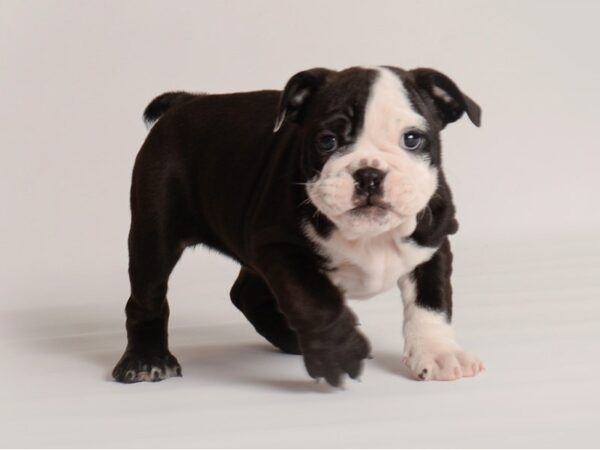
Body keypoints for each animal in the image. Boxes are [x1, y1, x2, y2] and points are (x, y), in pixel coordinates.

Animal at [112, 66, 486, 386]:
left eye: (412, 139)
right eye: (327, 140)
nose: (368, 173)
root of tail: (186, 100)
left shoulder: (433, 238)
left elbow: (431, 302)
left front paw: (439, 354)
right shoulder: (282, 250)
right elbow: (316, 301)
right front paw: (339, 351)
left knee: (246, 293)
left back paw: (292, 339)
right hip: (155, 233)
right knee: (147, 295)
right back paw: (146, 360)